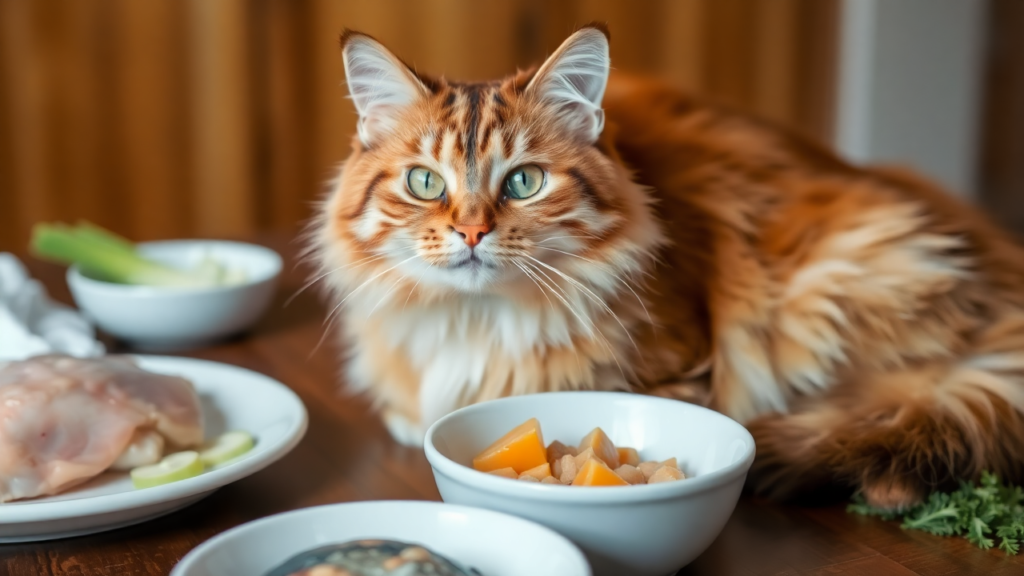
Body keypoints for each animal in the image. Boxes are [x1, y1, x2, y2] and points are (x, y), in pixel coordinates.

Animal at [309, 23, 1024, 506]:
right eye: (426, 183)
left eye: (524, 183)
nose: (472, 231)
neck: (481, 321)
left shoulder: (684, 368)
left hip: (840, 281)